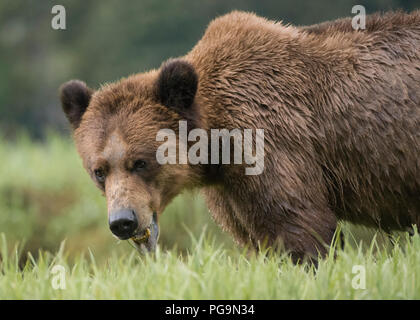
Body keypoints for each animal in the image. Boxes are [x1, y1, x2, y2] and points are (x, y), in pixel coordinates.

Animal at [60, 10, 420, 262]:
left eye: (140, 162)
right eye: (99, 170)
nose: (123, 221)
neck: (215, 145)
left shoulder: (271, 144)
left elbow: (299, 225)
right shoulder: (230, 189)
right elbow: (258, 237)